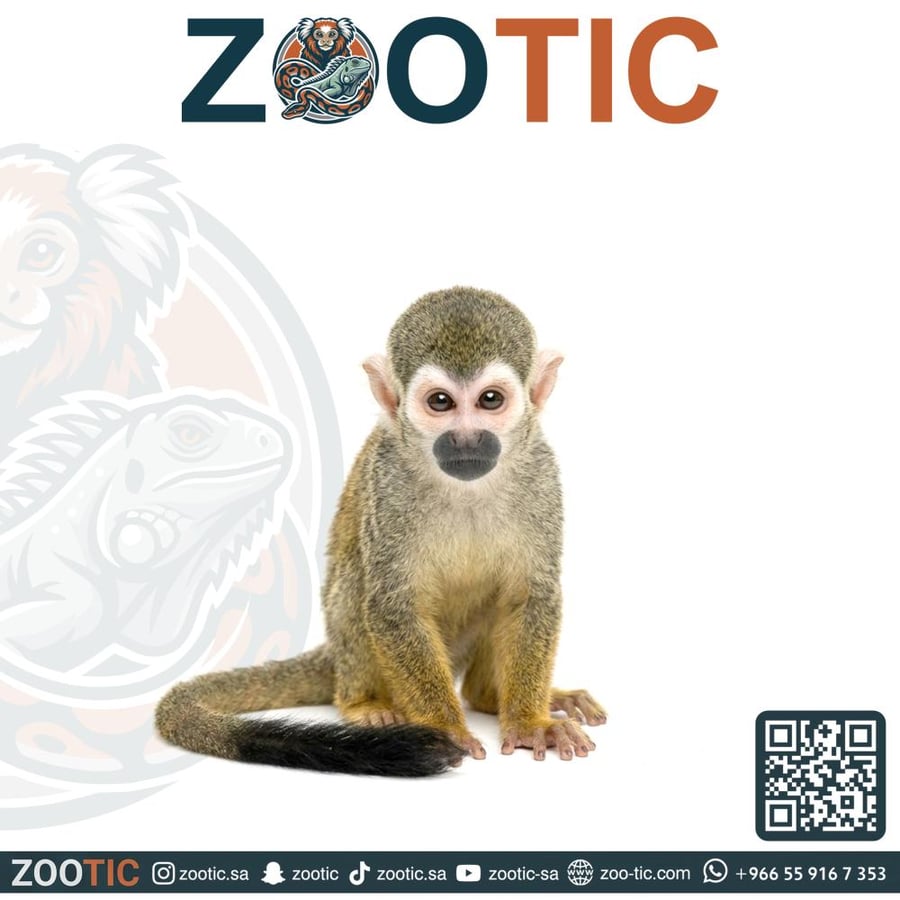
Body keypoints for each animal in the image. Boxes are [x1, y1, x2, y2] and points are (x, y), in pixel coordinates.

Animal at [155, 287, 606, 777]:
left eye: (490, 399)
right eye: (441, 402)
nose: (466, 440)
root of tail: (334, 656)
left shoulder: (542, 476)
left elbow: (529, 595)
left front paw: (529, 722)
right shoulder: (387, 482)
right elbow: (391, 604)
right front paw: (444, 729)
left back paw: (490, 698)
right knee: (358, 581)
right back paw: (365, 704)